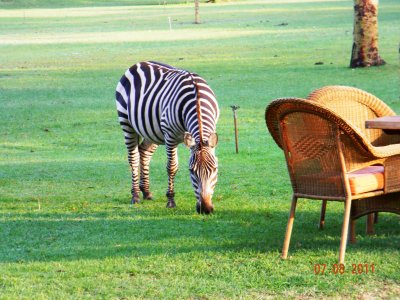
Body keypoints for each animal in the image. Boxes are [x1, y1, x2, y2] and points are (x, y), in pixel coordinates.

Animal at [114, 61, 220, 213]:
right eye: (191, 171)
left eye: (215, 169)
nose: (205, 209)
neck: (197, 98)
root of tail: (139, 63)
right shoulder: (170, 136)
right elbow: (172, 167)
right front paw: (171, 201)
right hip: (127, 123)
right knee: (133, 158)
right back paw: (135, 196)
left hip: (153, 131)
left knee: (144, 152)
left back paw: (146, 191)